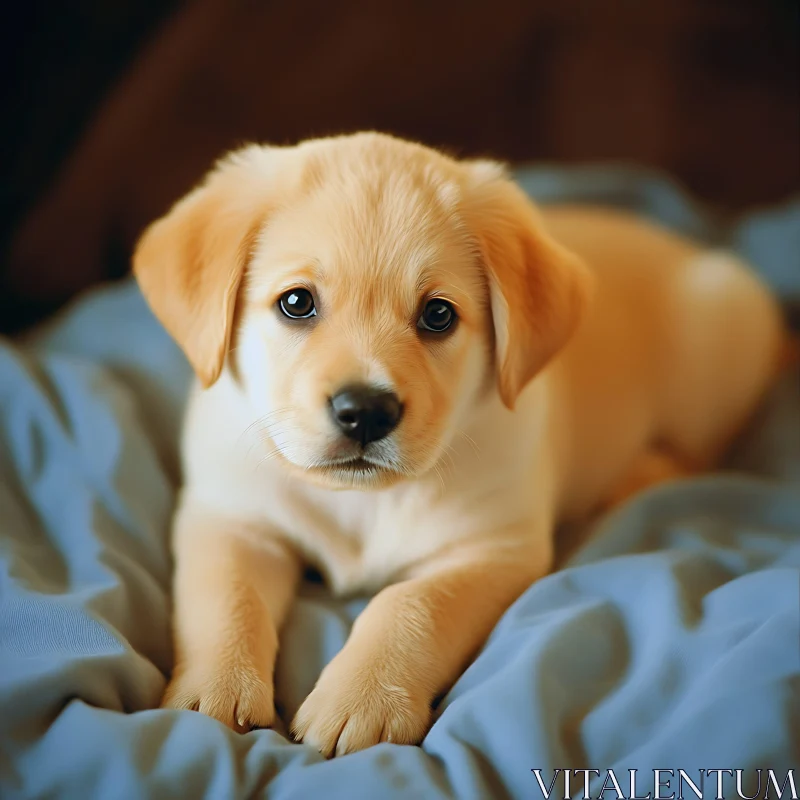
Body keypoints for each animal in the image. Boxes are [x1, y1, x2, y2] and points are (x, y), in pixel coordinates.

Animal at [134, 131, 784, 756]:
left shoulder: (492, 549)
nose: (365, 411)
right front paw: (212, 692)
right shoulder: (232, 518)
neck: (361, 502)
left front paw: (363, 697)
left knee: (696, 454)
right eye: (296, 302)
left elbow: (411, 605)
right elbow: (225, 598)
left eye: (438, 315)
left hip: (716, 349)